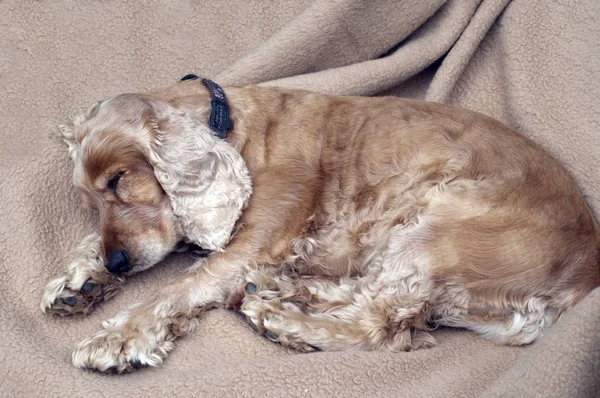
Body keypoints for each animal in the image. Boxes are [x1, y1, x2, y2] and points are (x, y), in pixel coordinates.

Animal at [41, 75, 600, 374]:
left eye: (119, 180)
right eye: (88, 199)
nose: (118, 263)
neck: (233, 127)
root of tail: (578, 284)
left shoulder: (253, 242)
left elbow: (179, 287)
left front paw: (119, 336)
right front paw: (80, 279)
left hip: (438, 229)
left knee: (383, 326)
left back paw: (283, 320)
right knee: (379, 305)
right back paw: (281, 294)